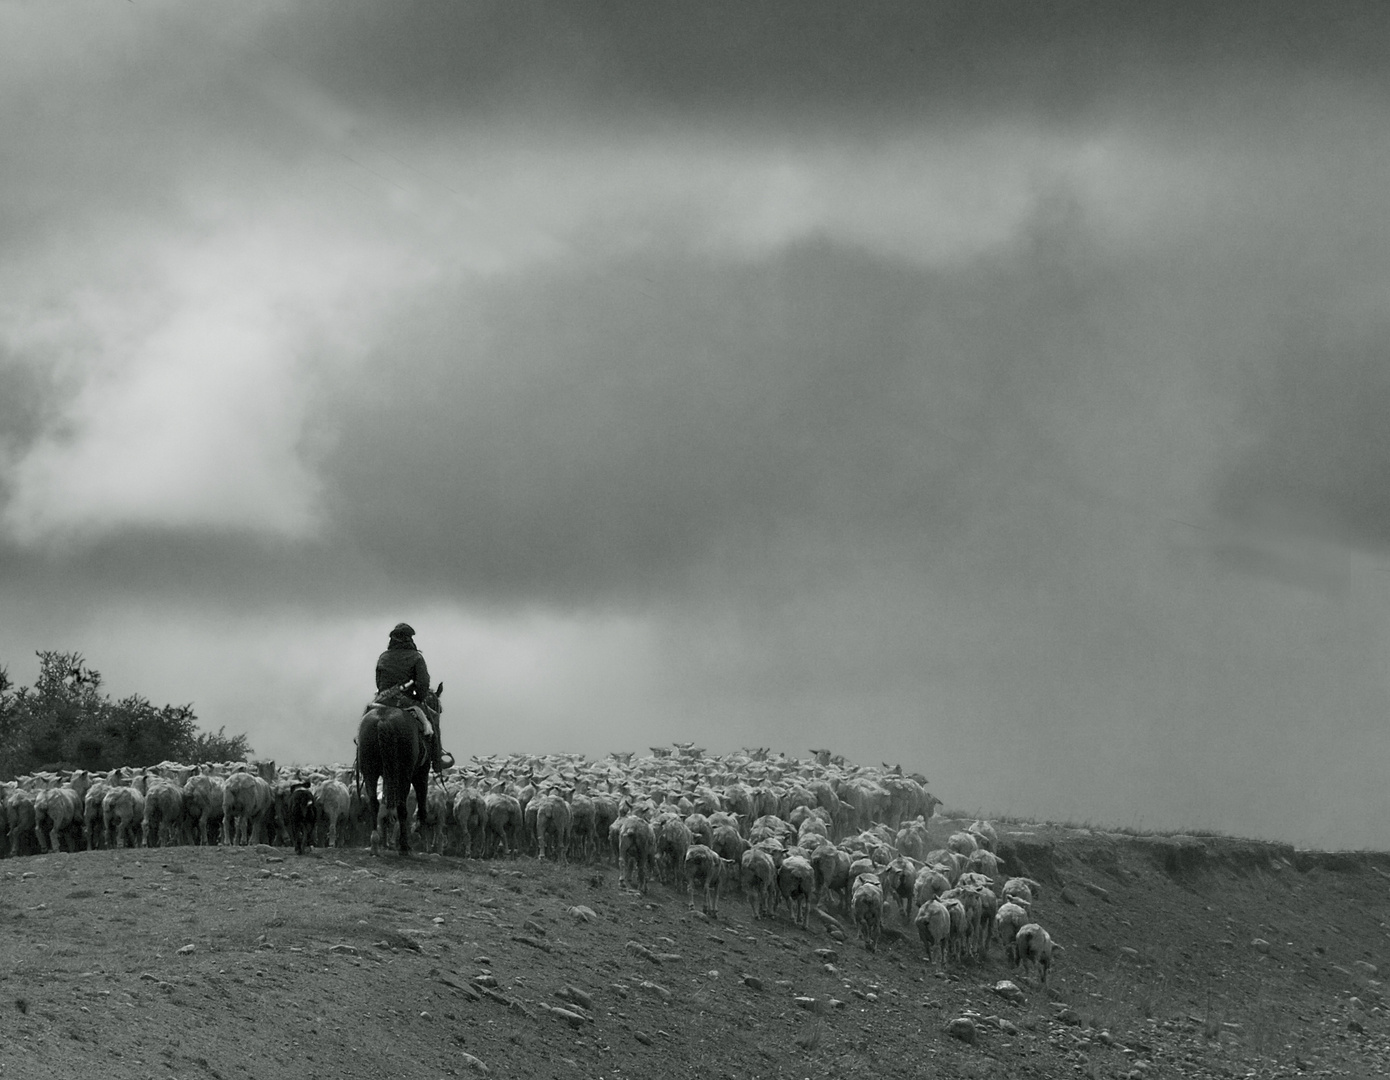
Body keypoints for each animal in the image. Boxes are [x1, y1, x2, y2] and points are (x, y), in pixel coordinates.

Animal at [355, 683, 442, 850]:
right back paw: (404, 847)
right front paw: (419, 831)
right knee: (402, 806)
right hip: (404, 773)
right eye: (439, 709)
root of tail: (383, 719)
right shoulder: (421, 772)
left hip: (370, 771)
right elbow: (421, 799)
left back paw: (375, 843)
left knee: (374, 802)